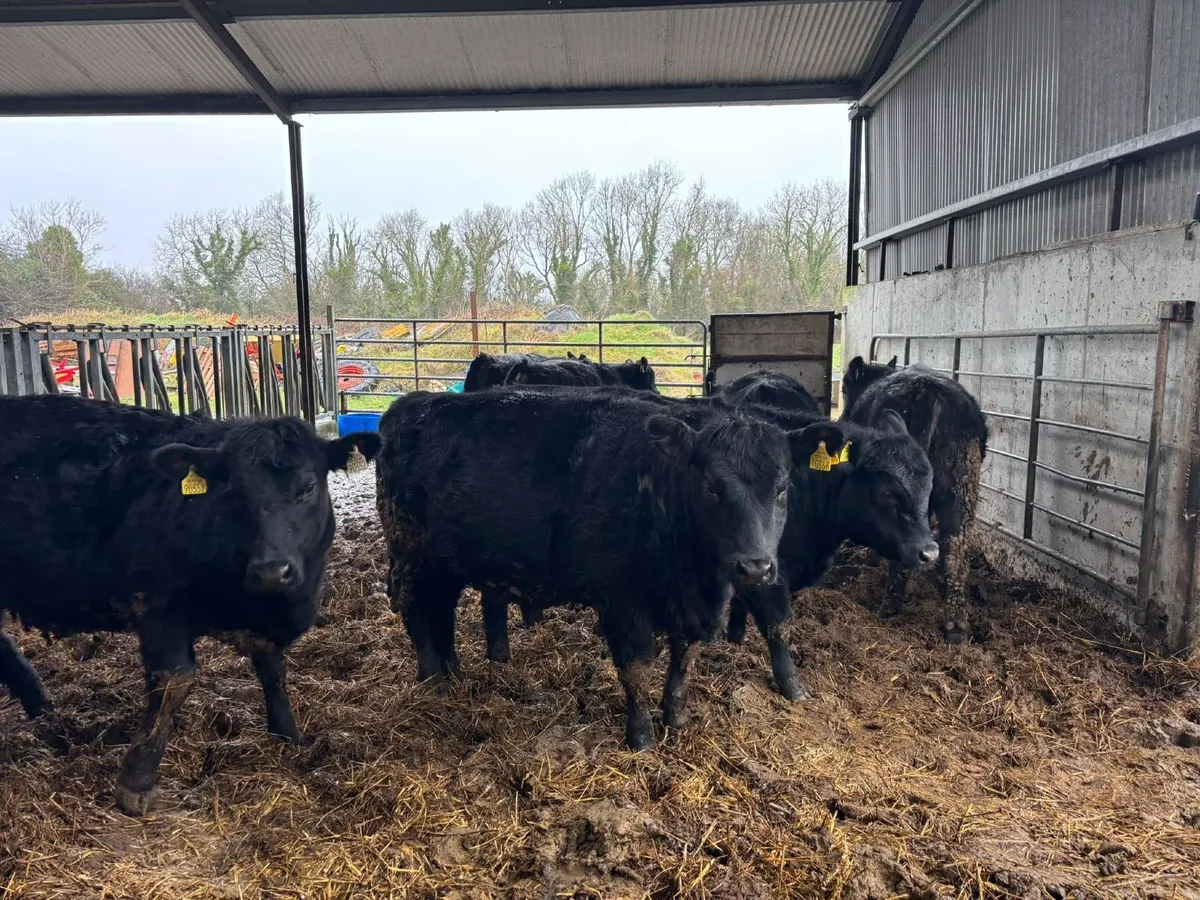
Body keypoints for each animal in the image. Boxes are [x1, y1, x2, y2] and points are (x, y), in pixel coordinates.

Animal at [0, 395, 380, 815]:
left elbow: (273, 668)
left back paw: (49, 719)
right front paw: (136, 781)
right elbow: (175, 679)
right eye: (235, 492)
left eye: (309, 486)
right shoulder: (158, 605)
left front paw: (289, 735)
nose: (271, 570)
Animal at [376, 388, 814, 749]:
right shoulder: (622, 600)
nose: (755, 568)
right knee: (416, 613)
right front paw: (641, 737)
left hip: (444, 565)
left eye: (782, 488)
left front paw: (675, 716)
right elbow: (636, 666)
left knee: (442, 613)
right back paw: (434, 682)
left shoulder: (688, 606)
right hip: (412, 558)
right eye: (711, 486)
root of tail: (411, 405)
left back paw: (454, 674)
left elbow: (684, 658)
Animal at [841, 355, 989, 643]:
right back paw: (956, 625)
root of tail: (930, 393)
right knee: (955, 547)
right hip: (961, 487)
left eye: (843, 389)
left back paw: (890, 607)